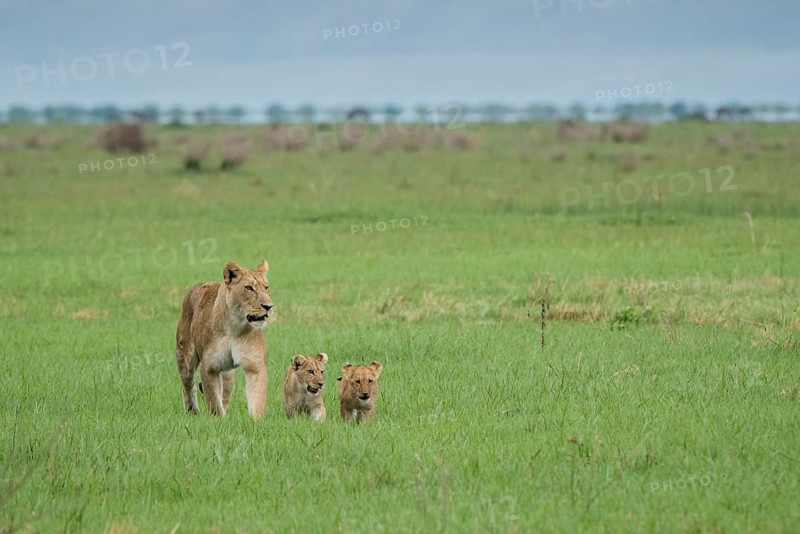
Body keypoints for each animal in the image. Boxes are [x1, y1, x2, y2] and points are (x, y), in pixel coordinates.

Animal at [175, 260, 272, 418]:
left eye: (266, 287)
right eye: (249, 288)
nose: (269, 306)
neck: (234, 326)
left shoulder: (254, 365)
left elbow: (256, 399)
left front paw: (255, 421)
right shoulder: (209, 367)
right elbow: (213, 401)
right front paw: (219, 420)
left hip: (227, 373)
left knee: (224, 393)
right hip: (185, 358)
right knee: (188, 385)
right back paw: (192, 411)